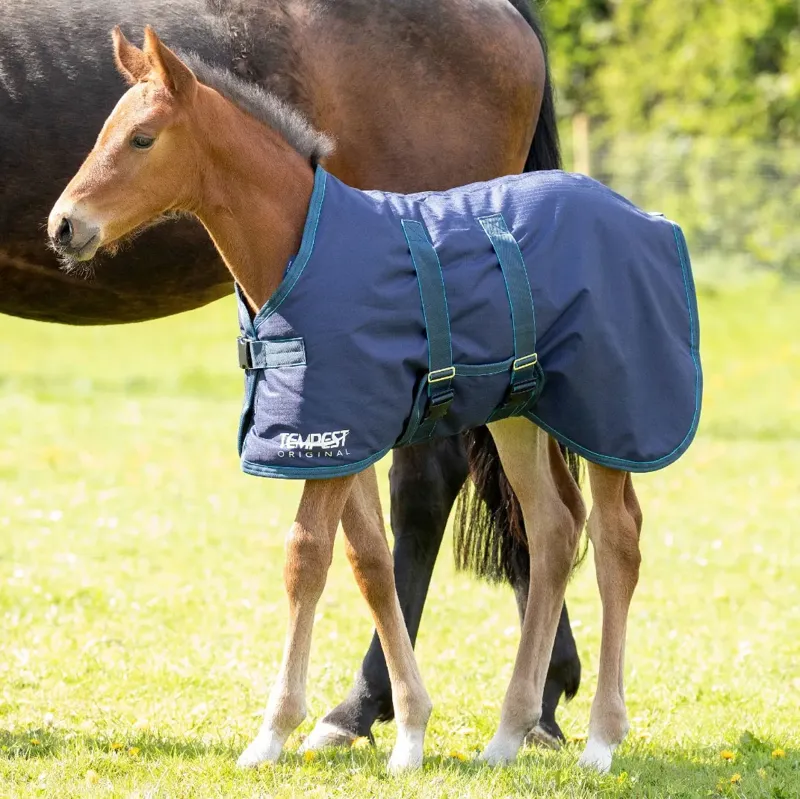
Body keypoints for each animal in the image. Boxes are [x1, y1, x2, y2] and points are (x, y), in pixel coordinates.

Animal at [48, 28, 661, 773]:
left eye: (141, 138)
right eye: (102, 131)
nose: (63, 226)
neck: (300, 248)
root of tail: (638, 215)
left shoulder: (331, 433)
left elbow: (306, 557)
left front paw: (273, 732)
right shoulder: (345, 434)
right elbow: (369, 561)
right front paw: (407, 730)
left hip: (612, 416)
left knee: (617, 540)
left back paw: (601, 739)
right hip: (519, 415)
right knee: (552, 528)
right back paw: (507, 734)